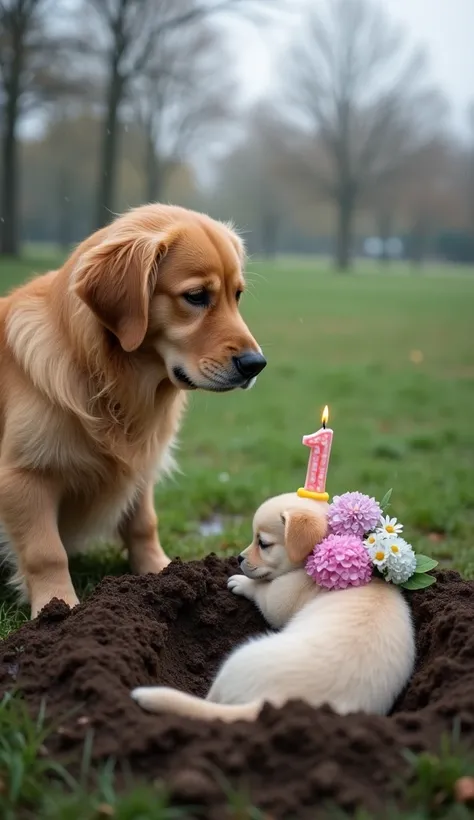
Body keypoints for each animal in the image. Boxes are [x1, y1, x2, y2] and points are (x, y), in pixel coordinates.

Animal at [0, 203, 266, 616]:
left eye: (236, 295)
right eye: (196, 296)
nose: (256, 364)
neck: (105, 376)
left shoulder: (141, 461)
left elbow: (143, 525)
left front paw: (161, 574)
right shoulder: (23, 476)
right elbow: (47, 552)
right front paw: (58, 608)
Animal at [131, 490, 414, 720]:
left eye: (263, 543)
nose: (238, 558)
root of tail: (273, 704)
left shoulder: (279, 597)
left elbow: (262, 591)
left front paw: (240, 582)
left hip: (236, 661)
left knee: (211, 700)